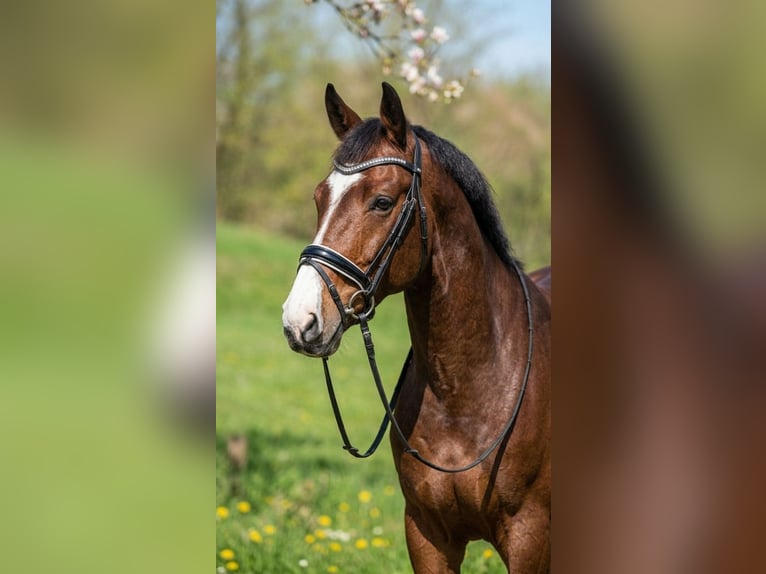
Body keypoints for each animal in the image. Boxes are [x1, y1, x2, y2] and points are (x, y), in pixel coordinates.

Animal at [282, 82, 550, 573]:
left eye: (382, 202)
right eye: (319, 198)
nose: (299, 320)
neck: (466, 392)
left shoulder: (531, 539)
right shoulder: (426, 534)